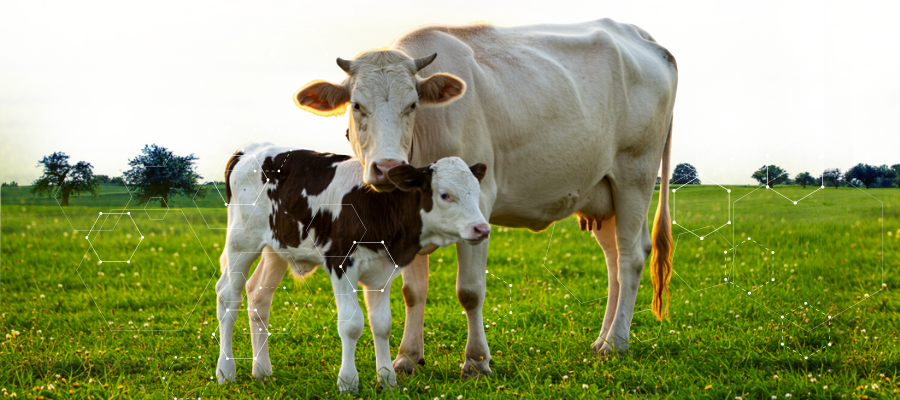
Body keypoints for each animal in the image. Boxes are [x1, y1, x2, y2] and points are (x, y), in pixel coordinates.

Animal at [214, 140, 489, 392]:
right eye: (444, 195)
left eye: (477, 193)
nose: (482, 228)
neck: (377, 207)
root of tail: (251, 148)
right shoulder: (341, 264)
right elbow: (352, 324)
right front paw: (348, 382)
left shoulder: (383, 271)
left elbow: (382, 324)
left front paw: (387, 379)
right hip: (241, 241)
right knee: (228, 297)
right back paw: (226, 371)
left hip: (278, 248)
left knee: (258, 296)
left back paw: (262, 370)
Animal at [291, 16, 679, 377]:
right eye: (356, 105)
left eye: (413, 105)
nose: (386, 167)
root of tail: (639, 35)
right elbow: (413, 291)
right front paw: (407, 357)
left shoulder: (479, 205)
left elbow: (470, 291)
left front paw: (476, 361)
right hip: (603, 193)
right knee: (614, 262)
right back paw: (602, 339)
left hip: (635, 175)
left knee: (631, 258)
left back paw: (616, 342)